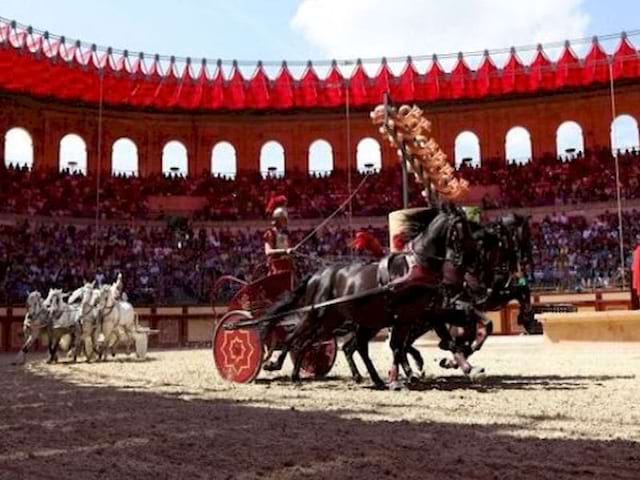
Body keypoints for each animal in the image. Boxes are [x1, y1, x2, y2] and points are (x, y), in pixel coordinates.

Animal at [258, 204, 482, 388]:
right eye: (461, 227)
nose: (474, 256)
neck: (416, 267)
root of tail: (317, 275)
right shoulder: (405, 317)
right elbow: (398, 347)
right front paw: (401, 377)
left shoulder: (421, 315)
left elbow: (430, 343)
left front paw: (468, 367)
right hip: (317, 315)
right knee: (295, 338)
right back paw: (275, 364)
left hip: (336, 321)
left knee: (324, 344)